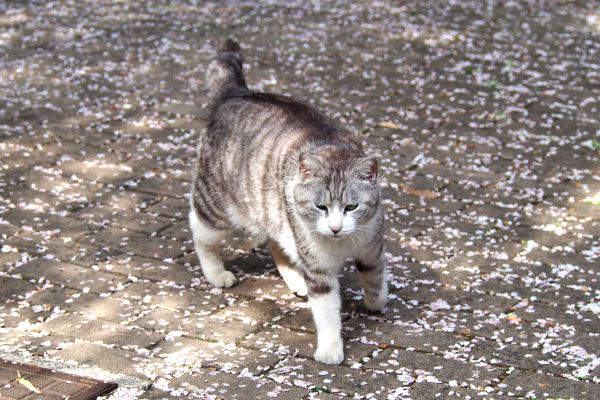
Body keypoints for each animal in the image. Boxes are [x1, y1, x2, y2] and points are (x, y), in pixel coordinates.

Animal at [191, 39, 390, 364]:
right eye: (321, 207)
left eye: (352, 207)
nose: (335, 228)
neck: (341, 246)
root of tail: (236, 92)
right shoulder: (318, 269)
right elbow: (326, 311)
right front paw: (330, 348)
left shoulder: (372, 245)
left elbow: (376, 279)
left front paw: (375, 300)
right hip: (216, 207)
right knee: (201, 235)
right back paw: (217, 273)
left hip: (275, 212)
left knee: (277, 243)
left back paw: (295, 280)